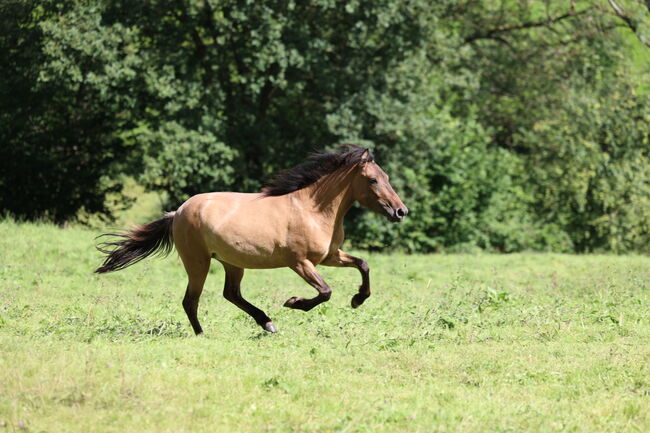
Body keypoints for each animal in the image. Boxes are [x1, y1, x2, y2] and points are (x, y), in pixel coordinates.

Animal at [95, 146, 404, 334]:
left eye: (387, 177)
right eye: (373, 180)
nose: (401, 211)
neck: (313, 210)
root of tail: (178, 212)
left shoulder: (330, 256)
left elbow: (363, 264)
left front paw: (357, 299)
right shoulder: (300, 262)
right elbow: (325, 291)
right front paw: (294, 302)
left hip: (232, 263)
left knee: (231, 294)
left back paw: (266, 323)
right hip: (198, 262)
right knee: (191, 301)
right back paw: (203, 334)